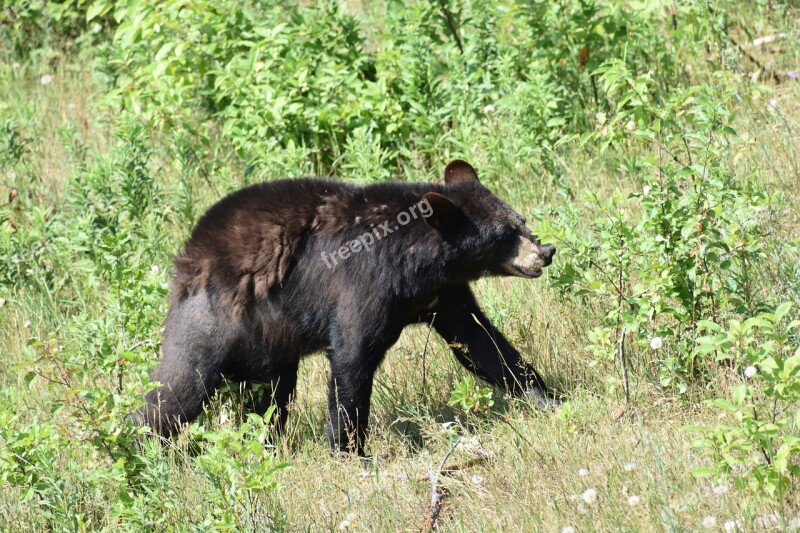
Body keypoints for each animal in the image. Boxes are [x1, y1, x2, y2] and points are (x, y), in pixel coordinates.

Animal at [136, 159, 556, 454]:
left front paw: (547, 398)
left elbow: (480, 342)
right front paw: (350, 450)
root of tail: (187, 256)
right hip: (214, 321)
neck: (419, 260)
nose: (546, 251)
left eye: (520, 220)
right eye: (504, 233)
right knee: (179, 388)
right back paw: (141, 447)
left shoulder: (443, 292)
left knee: (272, 395)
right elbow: (353, 356)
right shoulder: (365, 283)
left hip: (270, 341)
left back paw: (265, 444)